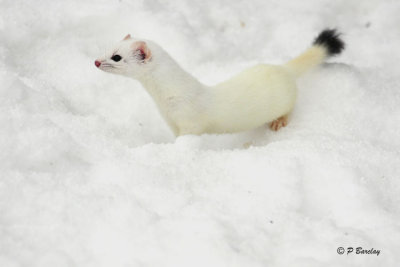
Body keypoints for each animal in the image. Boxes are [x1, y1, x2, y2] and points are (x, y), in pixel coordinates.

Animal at [95, 29, 346, 136]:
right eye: (108, 48)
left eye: (116, 57)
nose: (96, 61)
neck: (165, 102)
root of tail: (283, 68)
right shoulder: (171, 123)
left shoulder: (190, 122)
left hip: (286, 99)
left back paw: (278, 122)